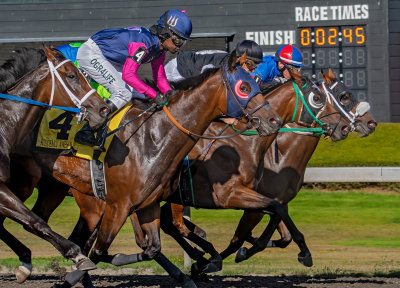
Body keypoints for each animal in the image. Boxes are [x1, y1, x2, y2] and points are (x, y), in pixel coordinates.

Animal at [11, 51, 282, 286]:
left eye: (257, 83)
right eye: (244, 87)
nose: (274, 120)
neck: (154, 138)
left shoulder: (148, 204)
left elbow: (150, 247)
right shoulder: (118, 205)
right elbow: (100, 249)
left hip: (57, 189)